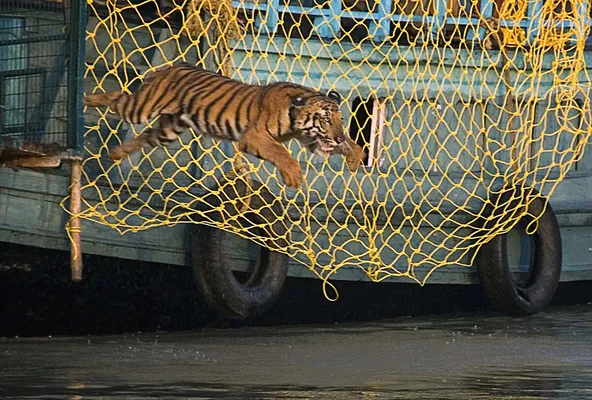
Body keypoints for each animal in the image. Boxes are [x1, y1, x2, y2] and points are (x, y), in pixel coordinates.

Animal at [84, 63, 366, 188]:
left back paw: (116, 152)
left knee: (144, 136)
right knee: (117, 98)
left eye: (340, 121)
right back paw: (89, 98)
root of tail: (174, 66)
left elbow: (351, 146)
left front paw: (354, 158)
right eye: (326, 120)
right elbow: (282, 153)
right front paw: (294, 177)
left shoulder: (310, 139)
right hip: (141, 108)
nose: (338, 137)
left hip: (168, 130)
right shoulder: (254, 136)